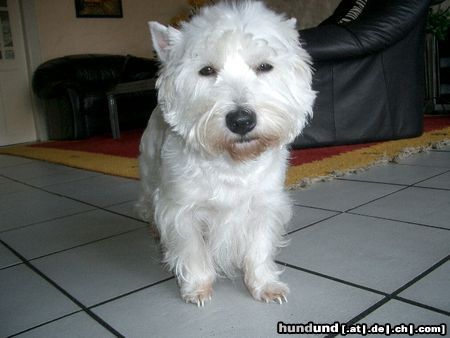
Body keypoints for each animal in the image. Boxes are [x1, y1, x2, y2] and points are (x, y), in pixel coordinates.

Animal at [135, 0, 314, 306]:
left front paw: (265, 286)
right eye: (206, 70)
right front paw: (197, 289)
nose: (241, 120)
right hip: (149, 173)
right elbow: (193, 249)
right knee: (148, 203)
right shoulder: (181, 209)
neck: (232, 162)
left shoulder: (264, 204)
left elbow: (259, 249)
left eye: (264, 66)